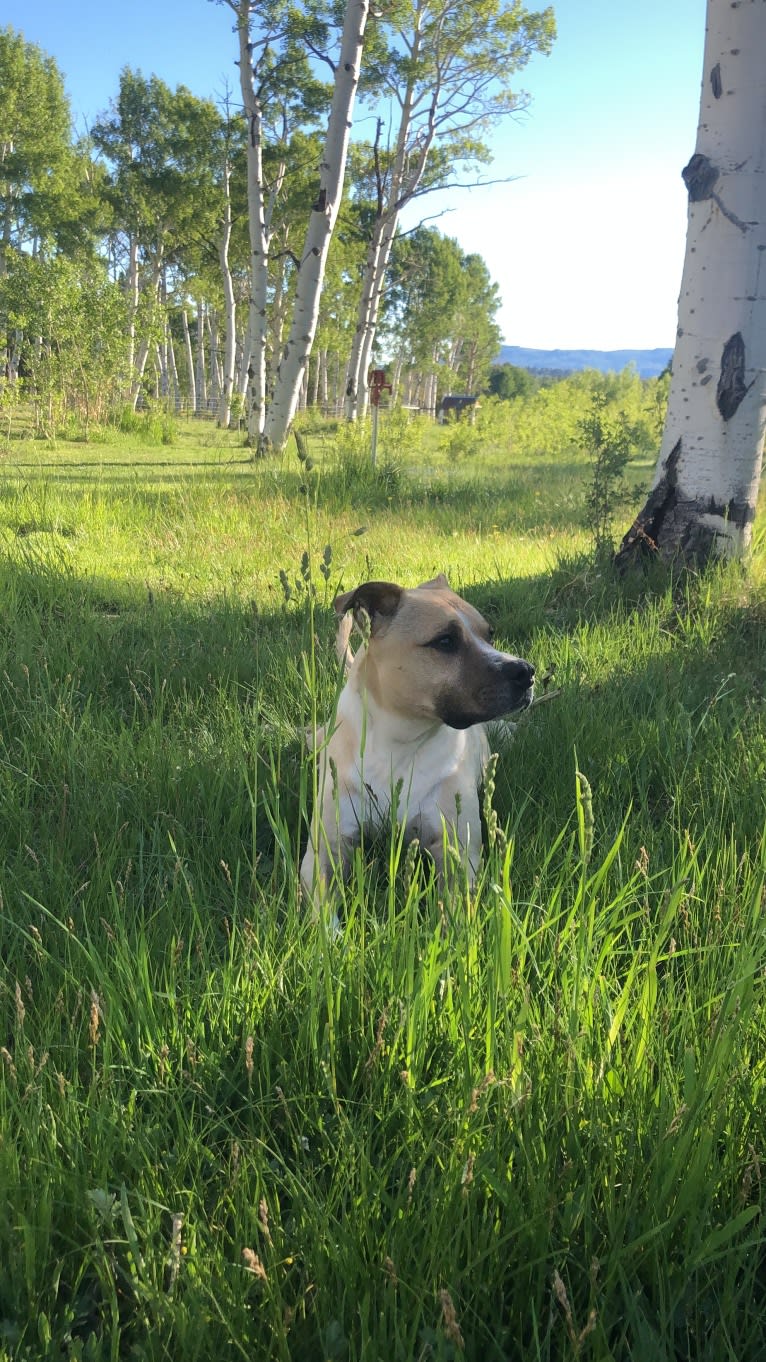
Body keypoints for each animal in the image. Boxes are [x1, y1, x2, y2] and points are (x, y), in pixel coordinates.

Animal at [298, 574, 531, 904]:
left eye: (490, 635)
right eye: (445, 641)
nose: (526, 672)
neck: (398, 743)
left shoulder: (458, 851)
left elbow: (453, 906)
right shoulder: (324, 852)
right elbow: (323, 908)